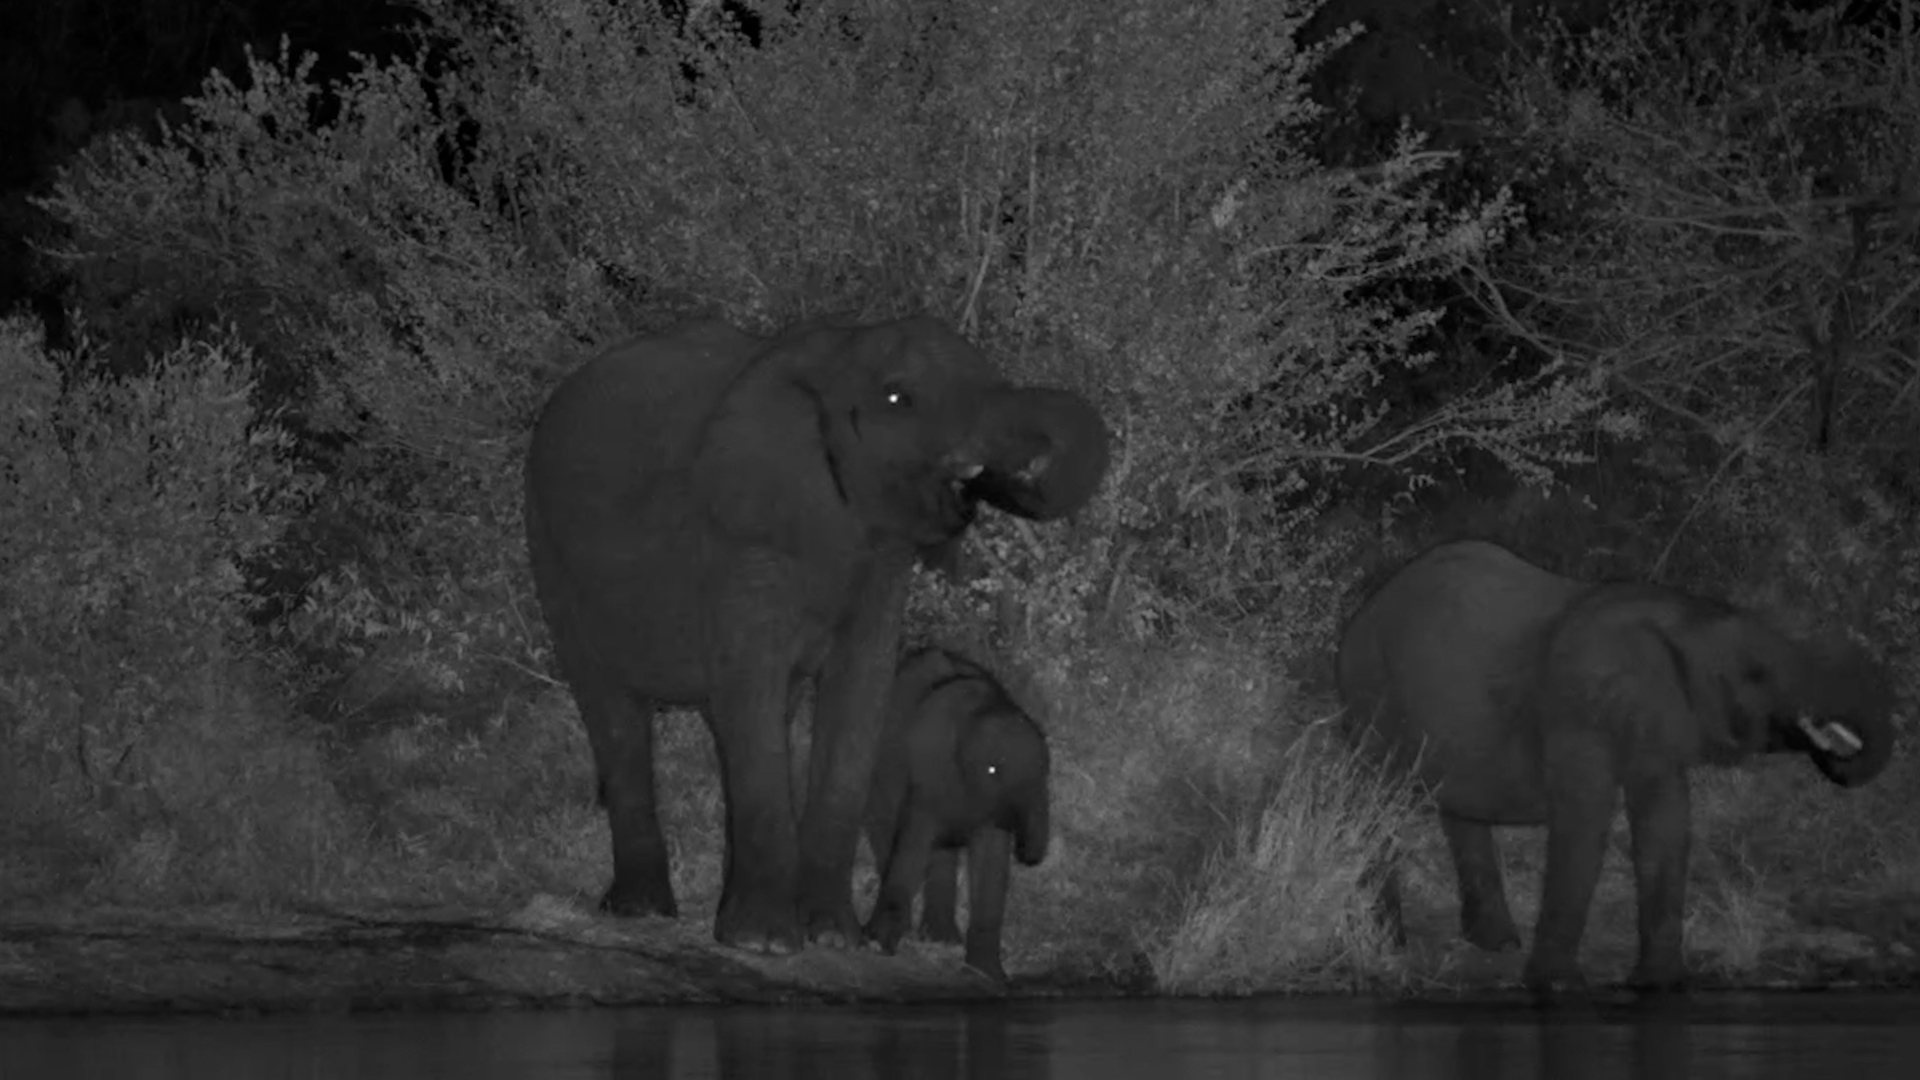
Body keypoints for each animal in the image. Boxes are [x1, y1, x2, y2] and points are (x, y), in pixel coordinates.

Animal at [862, 645, 1052, 983]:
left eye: (1047, 772)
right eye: (993, 770)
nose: (1028, 856)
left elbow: (991, 861)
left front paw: (988, 975)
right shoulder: (929, 771)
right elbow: (913, 841)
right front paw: (878, 944)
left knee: (941, 853)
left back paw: (942, 937)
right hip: (881, 771)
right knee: (888, 830)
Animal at [1335, 538, 1896, 996]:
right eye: (1756, 675)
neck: (1682, 621)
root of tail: (1365, 609)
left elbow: (1666, 822)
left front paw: (1662, 985)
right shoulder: (1578, 706)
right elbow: (1586, 819)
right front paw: (1558, 986)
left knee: (1457, 811)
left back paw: (1494, 945)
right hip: (1370, 688)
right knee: (1375, 798)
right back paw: (1388, 941)